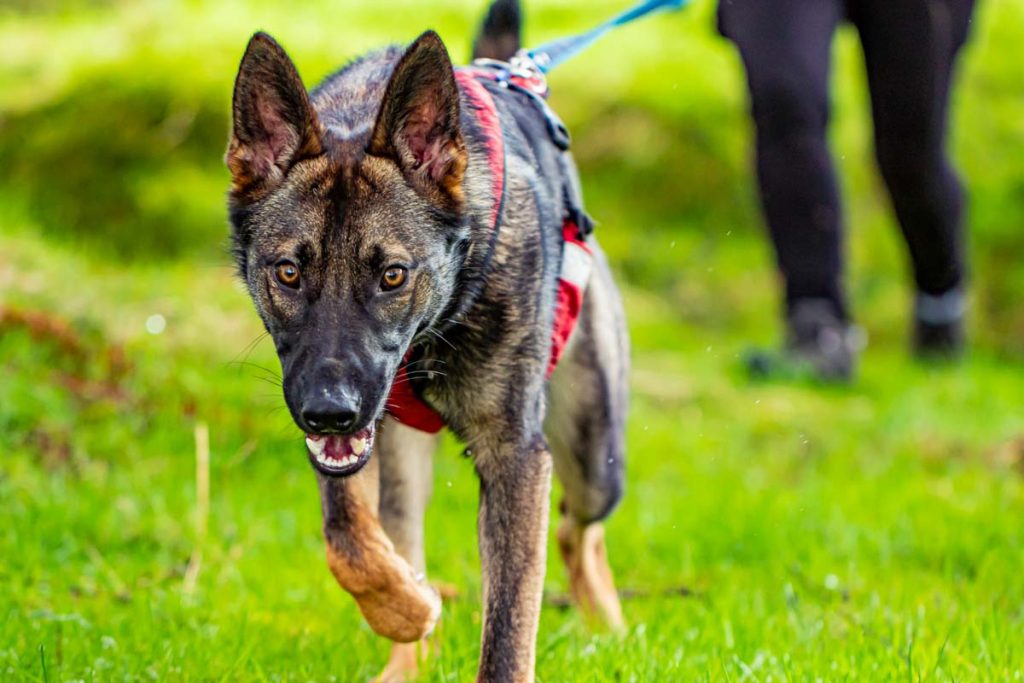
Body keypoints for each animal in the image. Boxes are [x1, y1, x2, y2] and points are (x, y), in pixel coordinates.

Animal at [224, 1, 626, 679]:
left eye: (392, 275)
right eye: (288, 272)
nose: (329, 411)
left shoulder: (516, 457)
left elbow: (509, 628)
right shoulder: (347, 440)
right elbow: (349, 541)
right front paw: (405, 608)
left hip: (593, 450)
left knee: (579, 528)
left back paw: (608, 624)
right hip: (403, 458)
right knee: (406, 536)